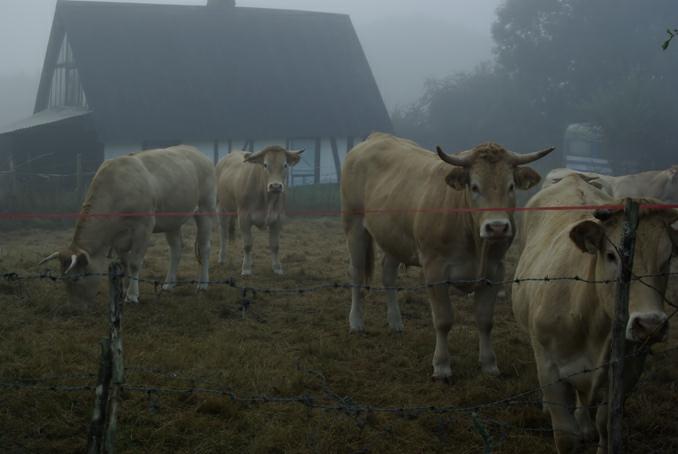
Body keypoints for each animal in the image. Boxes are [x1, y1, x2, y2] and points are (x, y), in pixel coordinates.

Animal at [37, 145, 218, 306]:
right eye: (63, 278)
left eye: (76, 278)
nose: (75, 308)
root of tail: (196, 152)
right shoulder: (117, 236)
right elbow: (124, 263)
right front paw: (122, 291)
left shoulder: (144, 227)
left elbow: (134, 263)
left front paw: (131, 295)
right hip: (172, 219)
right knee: (176, 249)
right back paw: (169, 284)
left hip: (205, 207)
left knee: (204, 247)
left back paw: (202, 285)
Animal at [218, 145, 302, 274]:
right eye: (265, 165)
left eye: (285, 165)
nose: (275, 186)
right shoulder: (244, 218)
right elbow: (247, 245)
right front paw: (246, 268)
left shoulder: (277, 219)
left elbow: (275, 246)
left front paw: (277, 268)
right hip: (221, 208)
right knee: (223, 234)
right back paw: (222, 258)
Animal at [342, 132, 556, 380]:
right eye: (474, 186)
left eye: (511, 186)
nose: (497, 227)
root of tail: (376, 137)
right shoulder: (435, 270)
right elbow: (443, 320)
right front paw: (442, 366)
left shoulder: (494, 271)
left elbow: (485, 320)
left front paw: (489, 364)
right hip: (354, 226)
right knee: (356, 273)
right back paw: (356, 323)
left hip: (393, 237)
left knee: (388, 274)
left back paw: (395, 322)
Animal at [512, 173, 676, 450]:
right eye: (611, 255)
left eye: (667, 258)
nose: (650, 324)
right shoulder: (550, 371)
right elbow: (566, 436)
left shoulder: (628, 371)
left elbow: (605, 423)